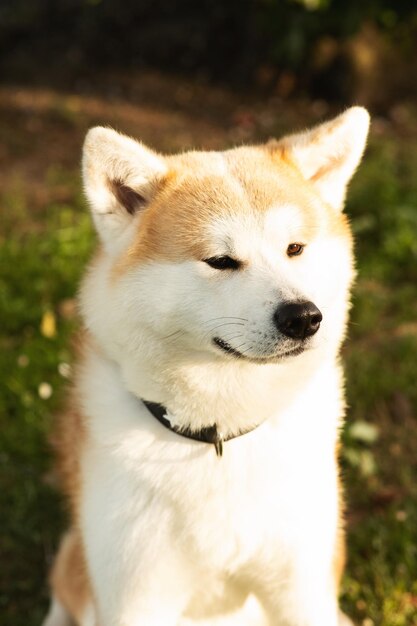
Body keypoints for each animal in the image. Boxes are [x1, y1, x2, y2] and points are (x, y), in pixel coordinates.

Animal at [41, 107, 368, 624]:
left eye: (295, 249)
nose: (303, 317)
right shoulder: (135, 595)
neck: (221, 435)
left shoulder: (300, 586)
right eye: (221, 261)